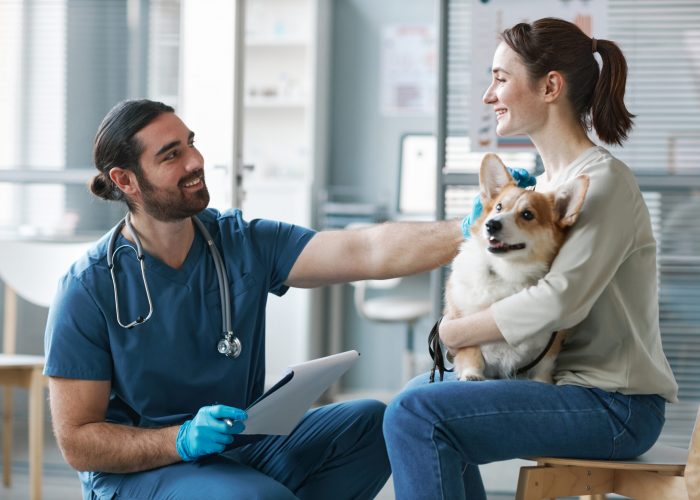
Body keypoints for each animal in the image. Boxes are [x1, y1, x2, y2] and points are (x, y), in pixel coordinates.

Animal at [442, 154, 584, 380]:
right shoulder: (459, 324)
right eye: (499, 207)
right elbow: (471, 352)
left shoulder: (552, 343)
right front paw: (472, 375)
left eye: (527, 215)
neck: (506, 273)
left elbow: (544, 367)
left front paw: (541, 382)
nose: (491, 224)